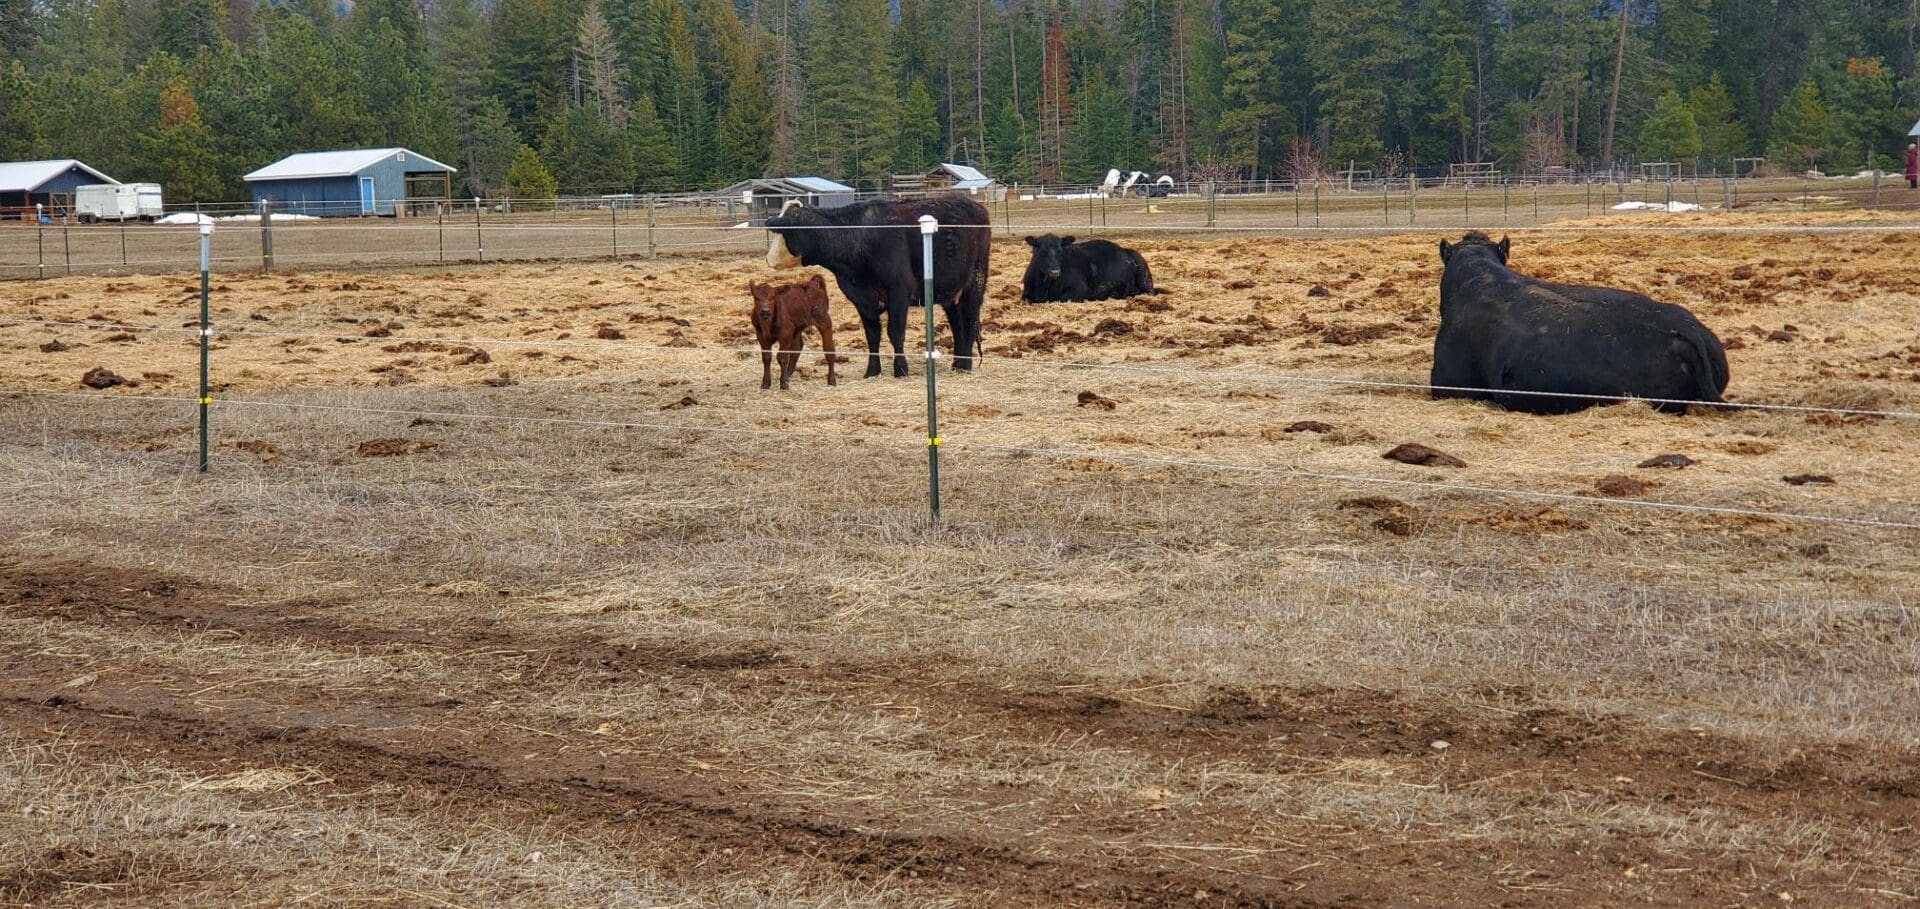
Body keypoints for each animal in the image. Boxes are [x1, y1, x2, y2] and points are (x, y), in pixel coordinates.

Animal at [760, 193, 990, 376]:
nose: (768, 259)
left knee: (970, 321)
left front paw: (901, 369)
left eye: (781, 231)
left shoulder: (899, 291)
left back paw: (965, 366)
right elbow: (872, 335)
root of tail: (974, 205)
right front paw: (872, 370)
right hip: (951, 293)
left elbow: (895, 332)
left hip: (975, 283)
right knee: (957, 325)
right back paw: (958, 363)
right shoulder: (861, 299)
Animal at [1021, 233, 1152, 301]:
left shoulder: (1079, 289)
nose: (1054, 272)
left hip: (1145, 281)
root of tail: (1124, 250)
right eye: (1042, 252)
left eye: (1060, 252)